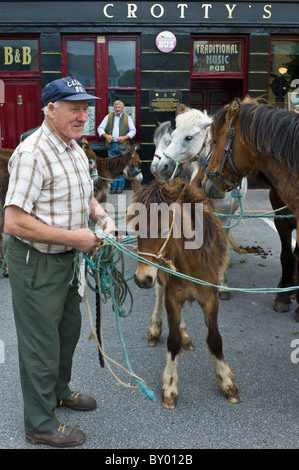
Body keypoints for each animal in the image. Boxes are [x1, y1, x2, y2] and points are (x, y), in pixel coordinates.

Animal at [129, 178, 241, 410]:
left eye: (164, 230)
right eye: (136, 228)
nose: (141, 279)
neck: (192, 261)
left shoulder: (210, 299)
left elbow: (215, 339)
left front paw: (227, 383)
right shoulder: (172, 296)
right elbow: (172, 340)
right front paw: (170, 387)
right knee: (159, 292)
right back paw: (155, 329)